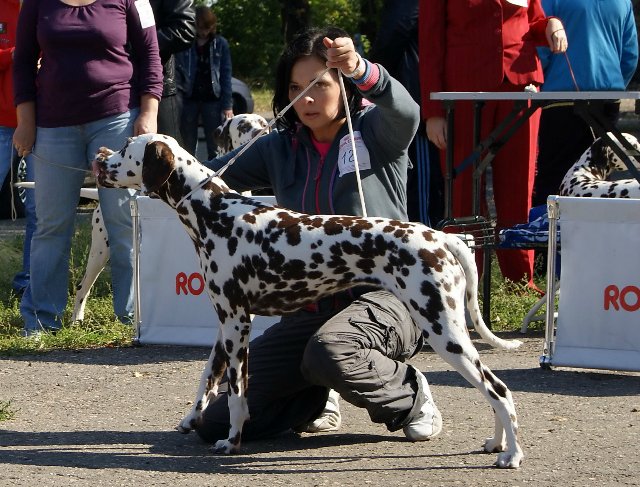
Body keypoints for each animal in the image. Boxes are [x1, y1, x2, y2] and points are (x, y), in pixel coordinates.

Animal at [94, 133, 524, 468]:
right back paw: (496, 443)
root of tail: (442, 237)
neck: (215, 213)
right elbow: (208, 380)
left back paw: (512, 455)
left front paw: (232, 440)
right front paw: (191, 419)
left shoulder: (237, 323)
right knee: (494, 390)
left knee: (499, 390)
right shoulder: (225, 323)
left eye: (126, 149)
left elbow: (236, 394)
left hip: (445, 333)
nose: (99, 159)